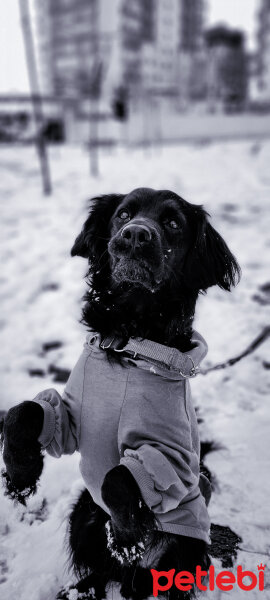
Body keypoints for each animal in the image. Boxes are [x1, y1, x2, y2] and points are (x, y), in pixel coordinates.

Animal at [1, 190, 238, 600]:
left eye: (173, 222)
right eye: (124, 214)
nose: (135, 235)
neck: (129, 343)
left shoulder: (172, 455)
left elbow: (118, 476)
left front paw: (128, 535)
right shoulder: (73, 419)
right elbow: (27, 411)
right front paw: (20, 475)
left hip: (187, 543)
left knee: (154, 577)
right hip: (82, 513)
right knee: (99, 570)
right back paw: (81, 588)